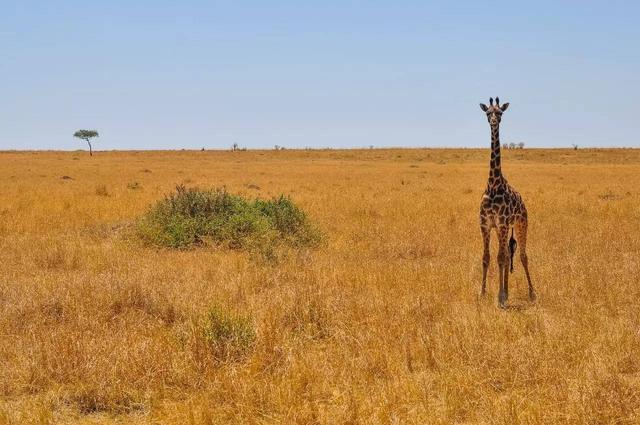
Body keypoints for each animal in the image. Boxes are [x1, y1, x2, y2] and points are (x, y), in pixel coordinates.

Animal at [480, 97, 536, 306]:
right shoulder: (486, 224)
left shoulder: (503, 224)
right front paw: (483, 293)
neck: (493, 184)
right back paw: (506, 290)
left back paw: (531, 293)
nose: (494, 122)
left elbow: (501, 258)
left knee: (522, 256)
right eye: (488, 112)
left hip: (521, 223)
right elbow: (487, 257)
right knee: (505, 254)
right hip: (502, 228)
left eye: (500, 112)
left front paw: (500, 296)